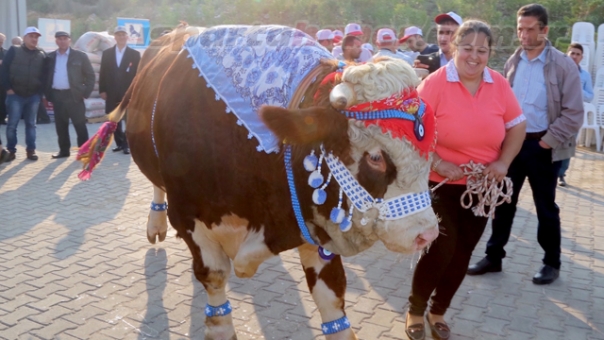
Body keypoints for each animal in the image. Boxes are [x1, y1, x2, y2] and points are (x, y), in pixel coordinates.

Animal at [79, 25, 438, 338]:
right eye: (376, 157)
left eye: (430, 150)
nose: (427, 234)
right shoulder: (189, 218)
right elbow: (214, 281)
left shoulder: (309, 218)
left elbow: (332, 299)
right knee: (158, 186)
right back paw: (155, 224)